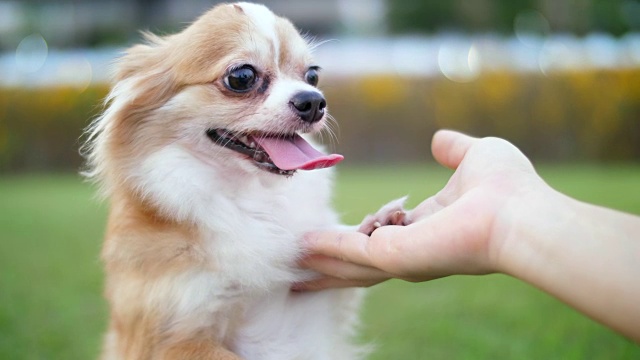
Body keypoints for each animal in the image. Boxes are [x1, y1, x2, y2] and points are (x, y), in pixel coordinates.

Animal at [82, 3, 404, 360]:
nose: (313, 100)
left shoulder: (317, 314)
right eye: (242, 77)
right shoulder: (173, 341)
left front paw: (374, 224)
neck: (249, 193)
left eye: (313, 75)